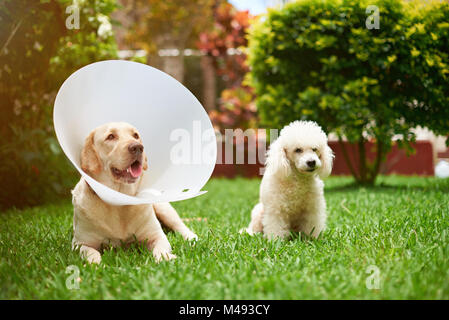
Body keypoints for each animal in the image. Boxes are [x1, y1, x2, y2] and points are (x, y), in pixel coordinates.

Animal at [71, 121, 197, 264]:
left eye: (135, 135)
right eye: (111, 136)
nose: (138, 147)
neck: (119, 200)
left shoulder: (156, 236)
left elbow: (160, 248)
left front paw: (165, 258)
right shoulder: (80, 244)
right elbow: (91, 252)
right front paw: (95, 264)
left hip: (163, 208)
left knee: (180, 225)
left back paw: (191, 238)